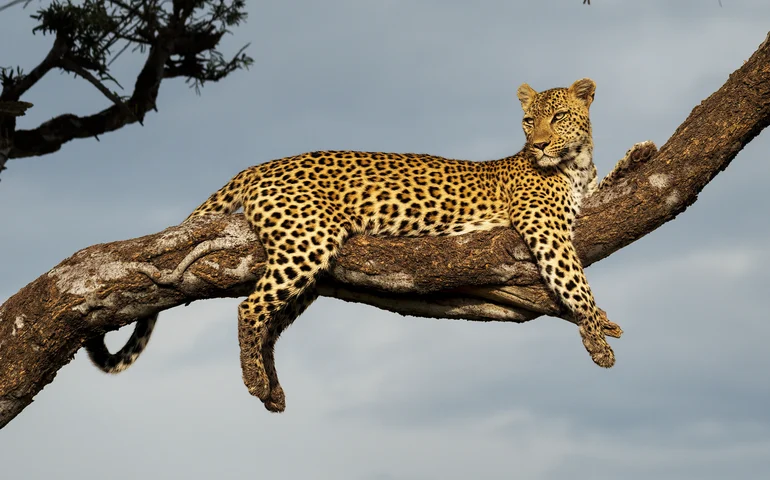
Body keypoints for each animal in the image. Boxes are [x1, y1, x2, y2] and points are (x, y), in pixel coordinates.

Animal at [86, 78, 625, 413]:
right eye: (529, 120)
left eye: (559, 116)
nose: (539, 145)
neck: (576, 165)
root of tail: (259, 165)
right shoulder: (545, 227)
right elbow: (574, 281)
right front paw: (598, 338)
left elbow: (614, 184)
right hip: (309, 238)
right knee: (249, 308)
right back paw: (255, 380)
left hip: (307, 260)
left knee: (272, 322)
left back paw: (272, 389)